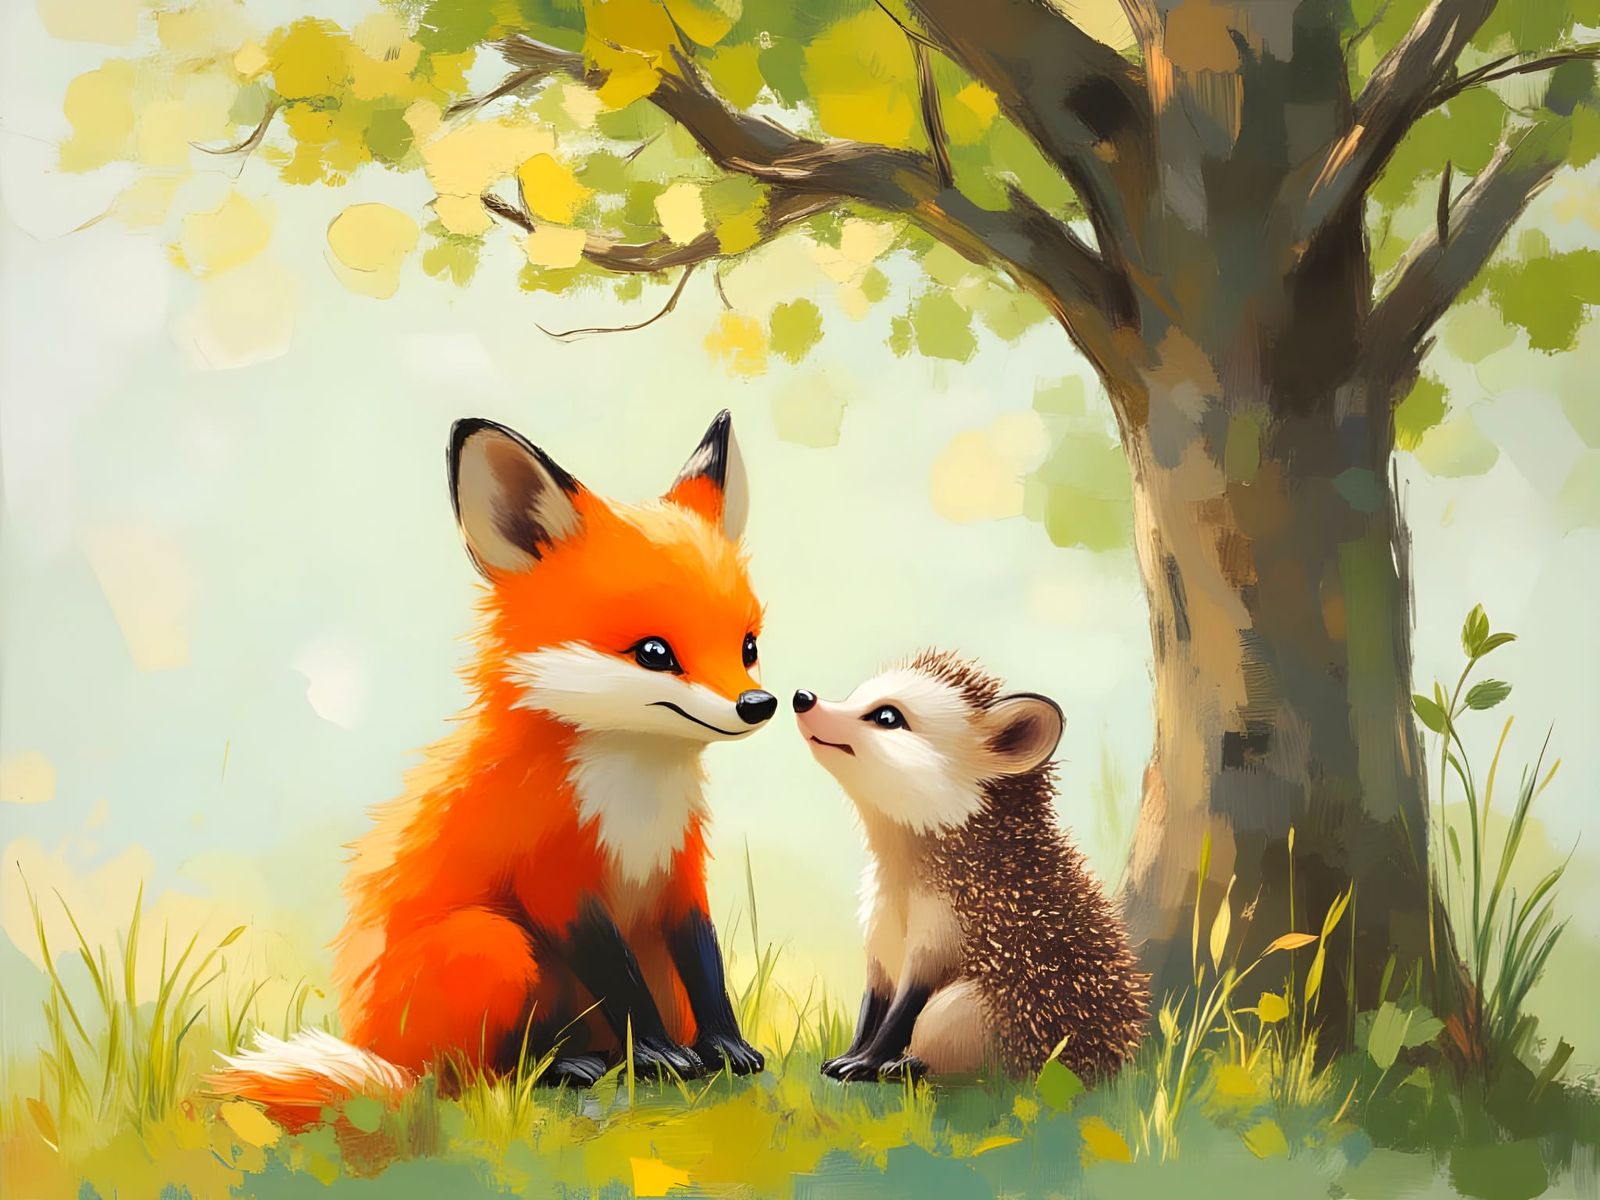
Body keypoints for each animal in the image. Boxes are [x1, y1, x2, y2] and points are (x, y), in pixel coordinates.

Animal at [212, 412, 772, 1127]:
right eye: (653, 652)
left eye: (748, 646)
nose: (759, 704)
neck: (636, 806)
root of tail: (379, 1053)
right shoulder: (555, 880)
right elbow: (620, 984)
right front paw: (655, 1055)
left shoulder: (679, 871)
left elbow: (708, 968)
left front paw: (726, 1046)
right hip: (496, 946)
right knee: (474, 1077)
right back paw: (565, 1067)